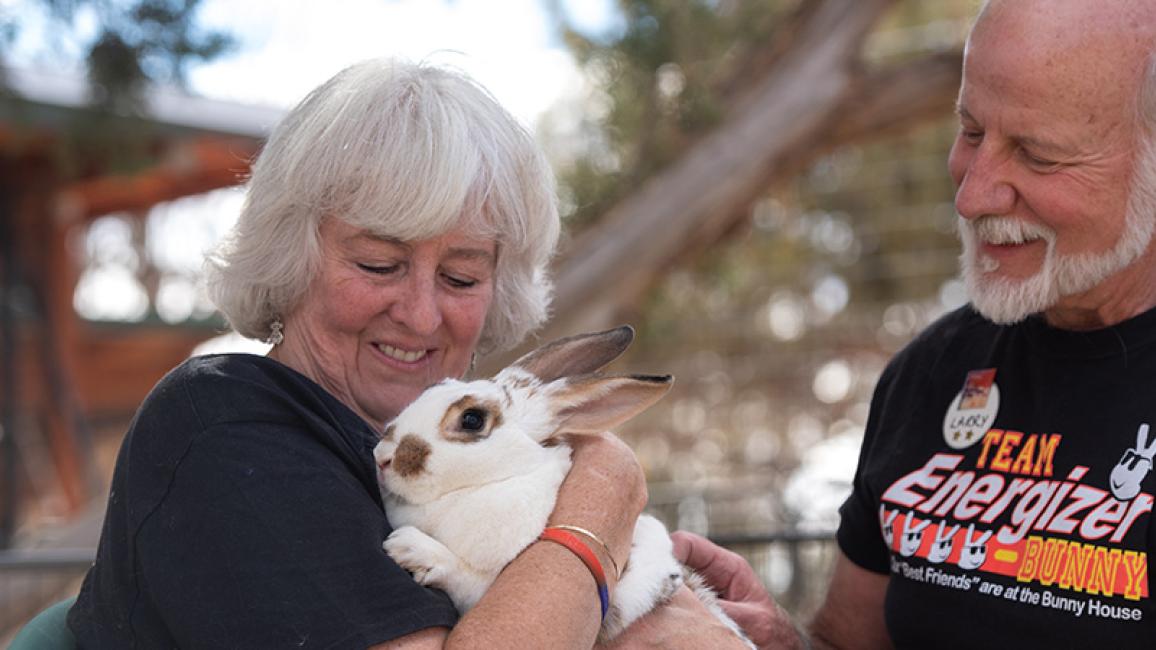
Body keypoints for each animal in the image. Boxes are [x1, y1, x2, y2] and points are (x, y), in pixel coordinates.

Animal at [373, 326, 753, 647]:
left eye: (472, 419)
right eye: (431, 389)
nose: (382, 456)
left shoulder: (491, 585)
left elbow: (465, 577)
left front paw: (409, 548)